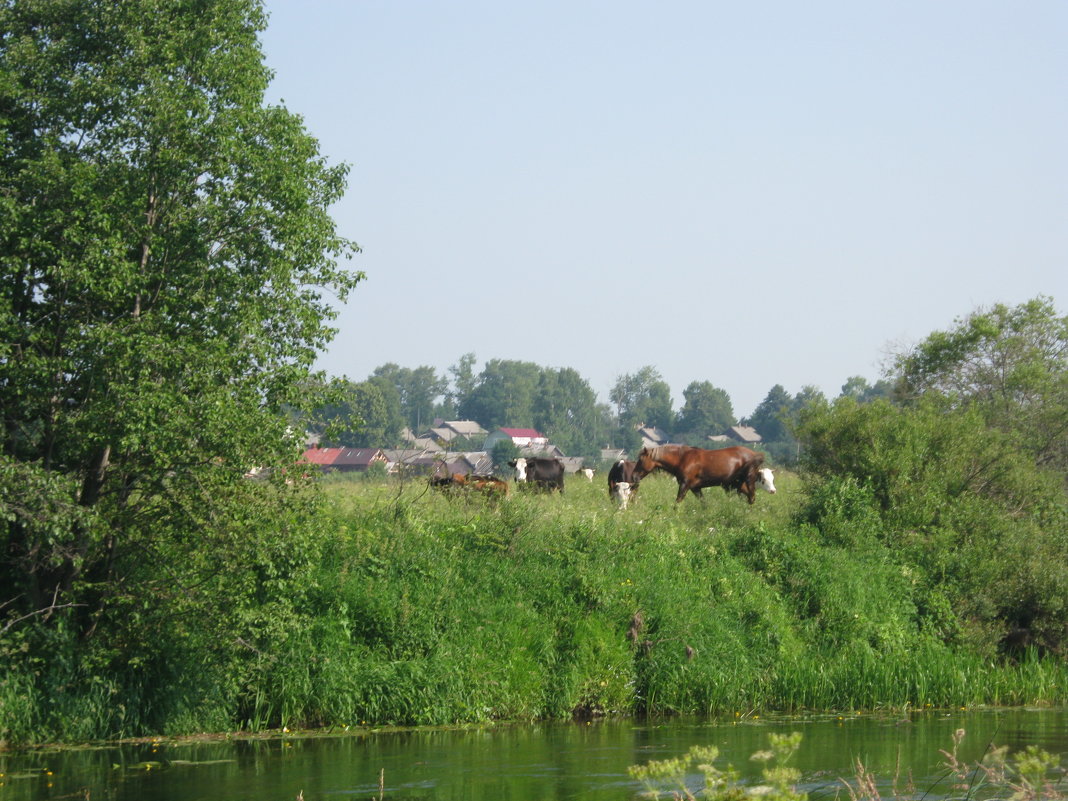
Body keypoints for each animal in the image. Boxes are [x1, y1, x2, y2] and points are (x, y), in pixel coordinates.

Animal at [632, 442, 768, 504]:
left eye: (641, 460)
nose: (634, 476)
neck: (682, 458)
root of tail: (754, 455)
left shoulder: (685, 485)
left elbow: (677, 501)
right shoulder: (695, 488)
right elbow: (704, 503)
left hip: (747, 481)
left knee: (752, 497)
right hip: (736, 485)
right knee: (749, 498)